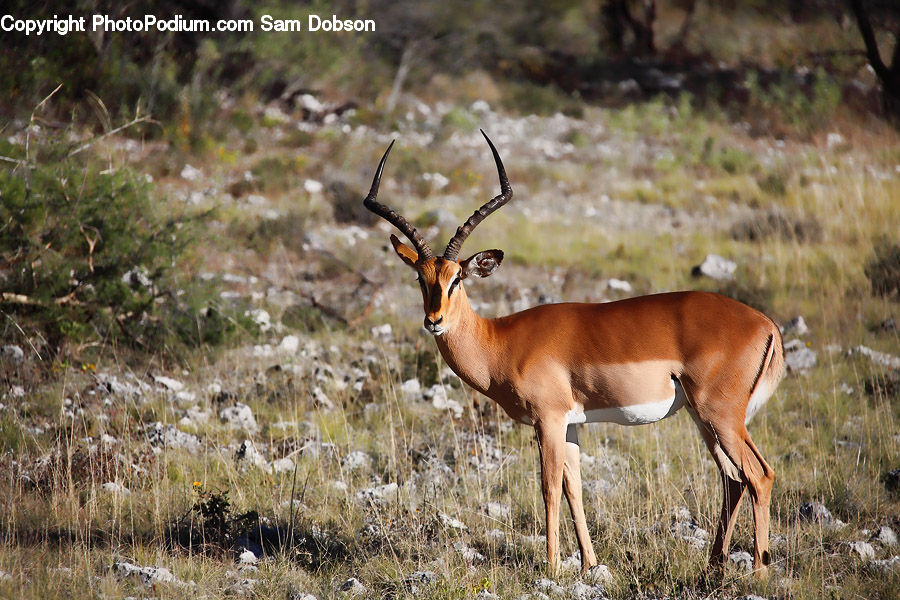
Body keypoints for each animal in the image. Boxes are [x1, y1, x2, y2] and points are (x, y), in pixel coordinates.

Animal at [362, 131, 784, 577]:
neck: (500, 341)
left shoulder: (547, 419)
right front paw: (589, 564)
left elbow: (548, 487)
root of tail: (766, 324)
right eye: (420, 278)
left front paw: (551, 567)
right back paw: (715, 564)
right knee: (733, 479)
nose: (434, 320)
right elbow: (574, 488)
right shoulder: (571, 425)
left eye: (457, 278)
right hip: (703, 419)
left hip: (719, 415)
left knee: (759, 475)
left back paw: (758, 571)